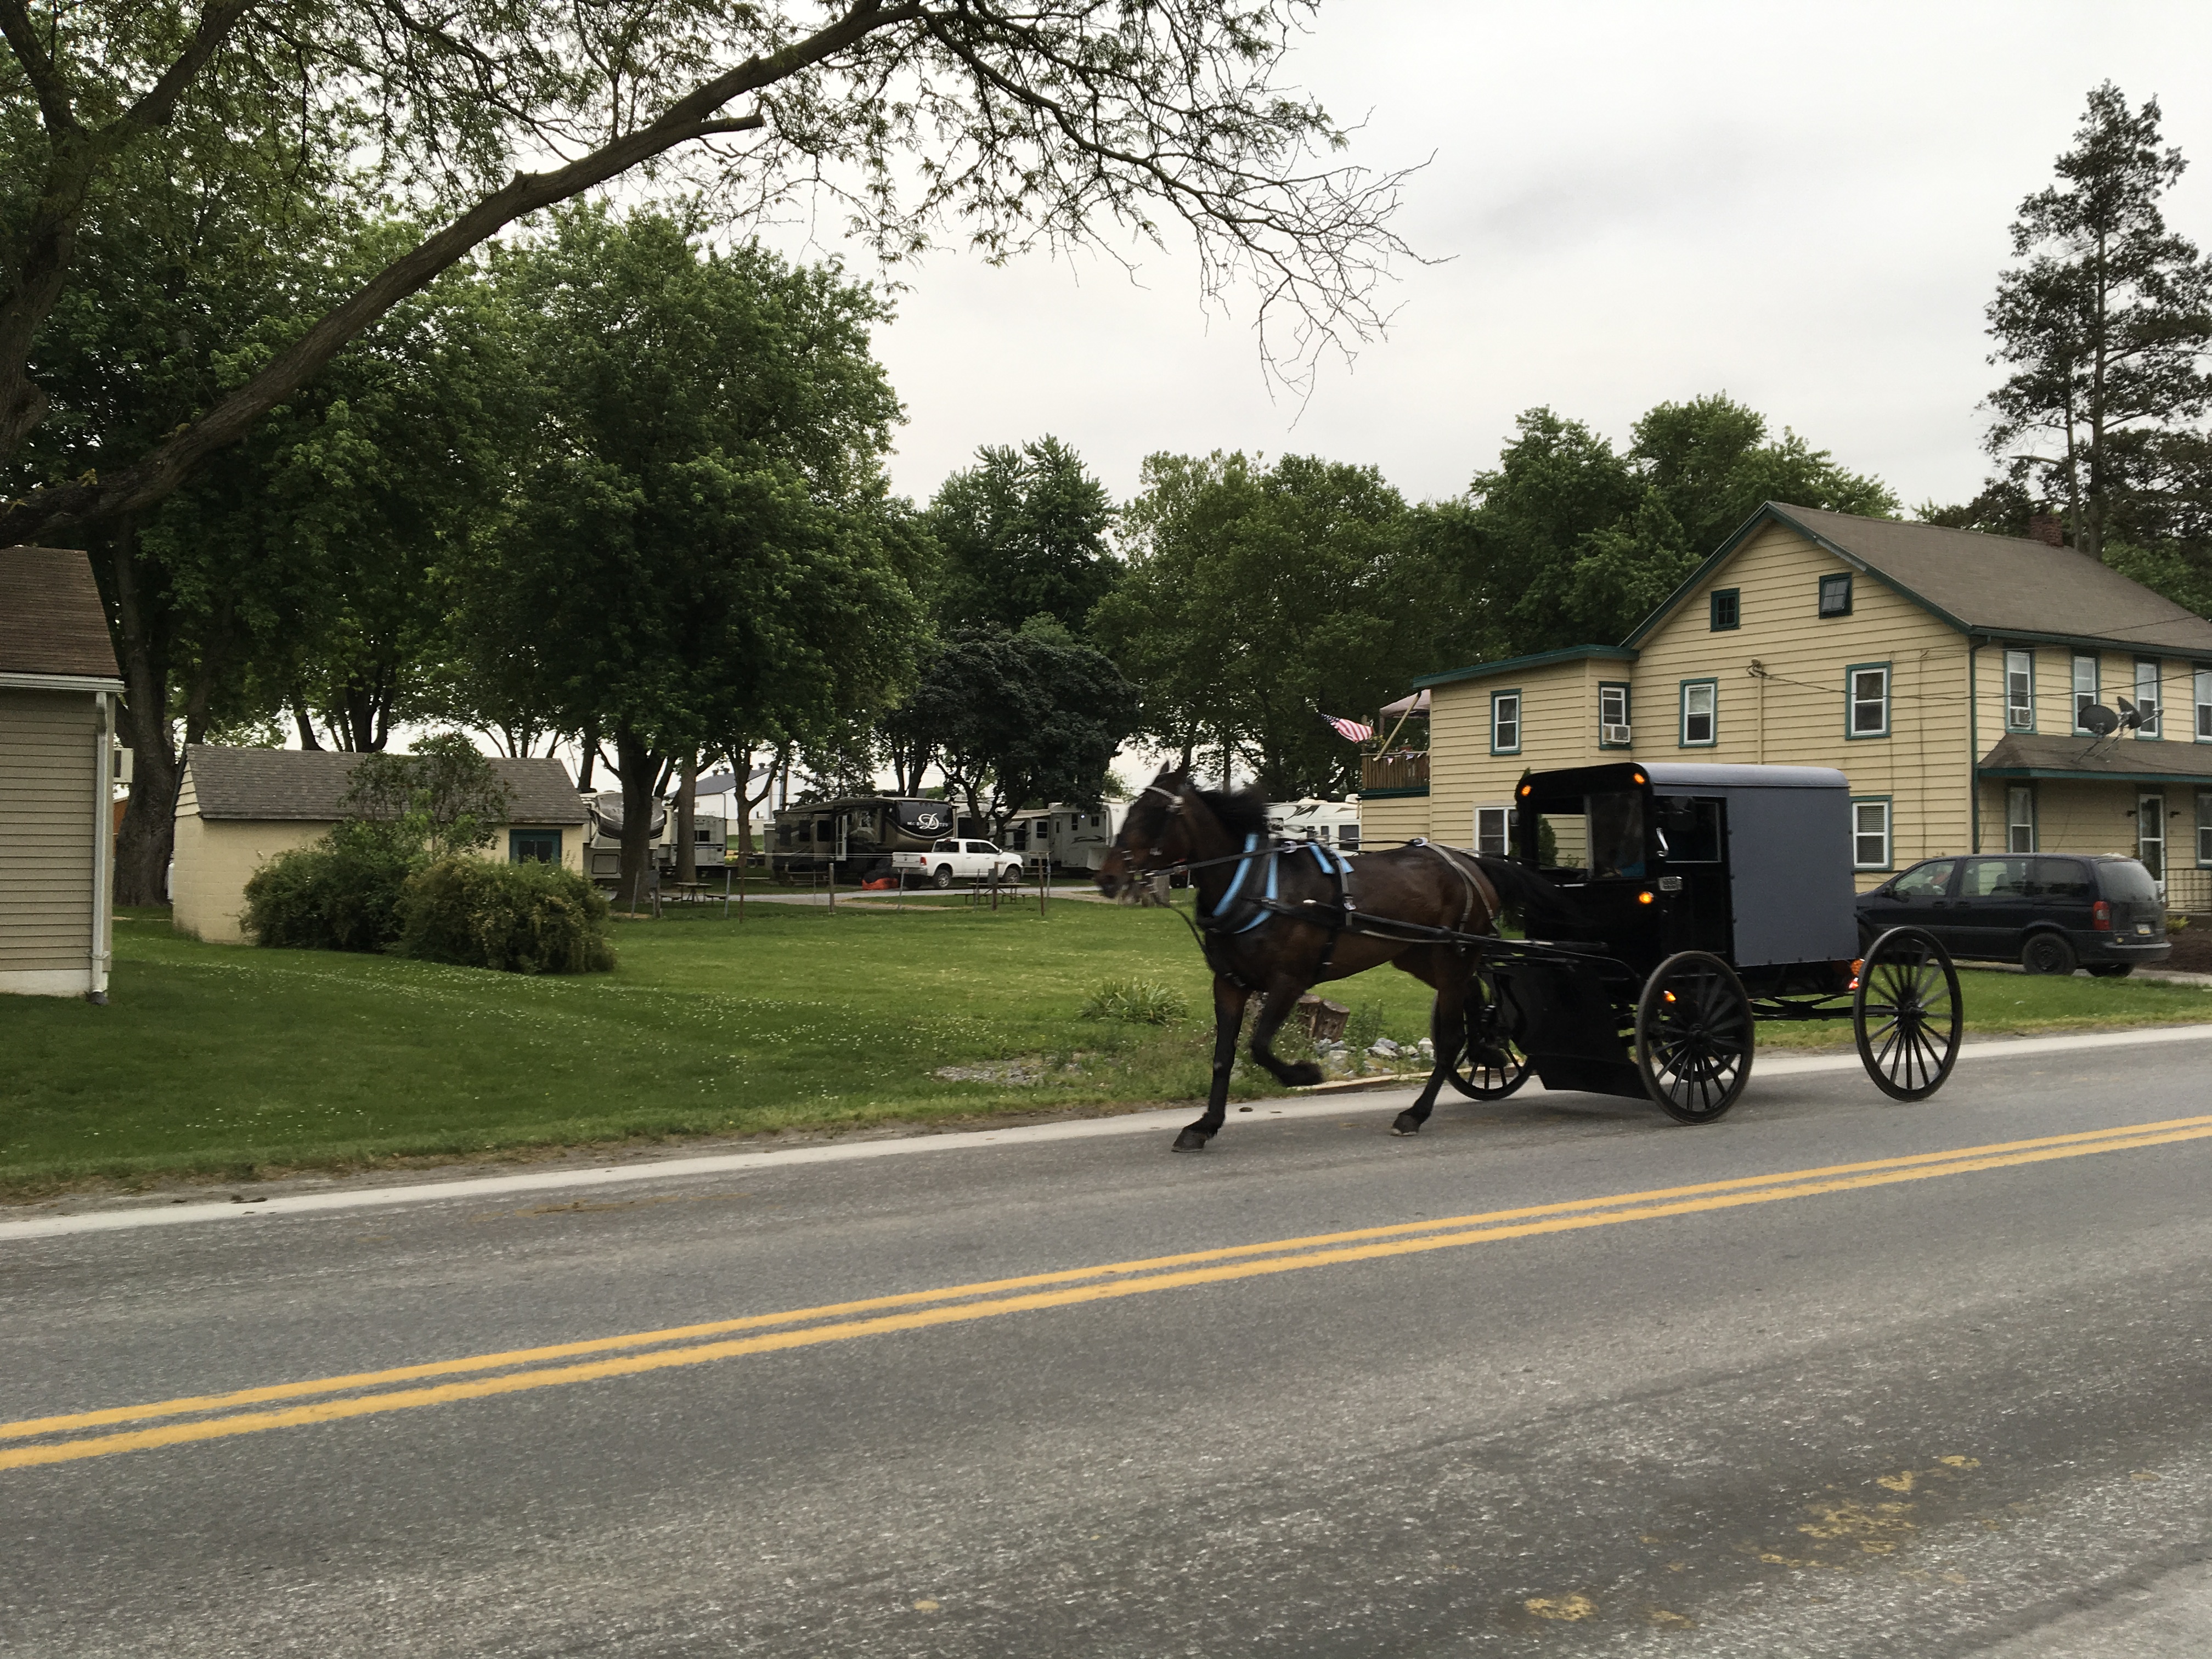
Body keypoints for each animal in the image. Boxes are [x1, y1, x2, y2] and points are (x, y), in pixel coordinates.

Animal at [1092, 770, 1557, 1150]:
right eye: (1131, 810)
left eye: (1154, 814)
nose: (1108, 877)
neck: (1255, 886)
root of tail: (1471, 864)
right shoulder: (1228, 983)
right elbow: (1224, 1056)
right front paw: (1204, 1125)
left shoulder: (1289, 981)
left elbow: (1259, 1046)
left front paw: (1304, 1075)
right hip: (1423, 958)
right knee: (1474, 997)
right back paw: (1489, 1047)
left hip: (1451, 956)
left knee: (1449, 1039)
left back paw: (1416, 1113)